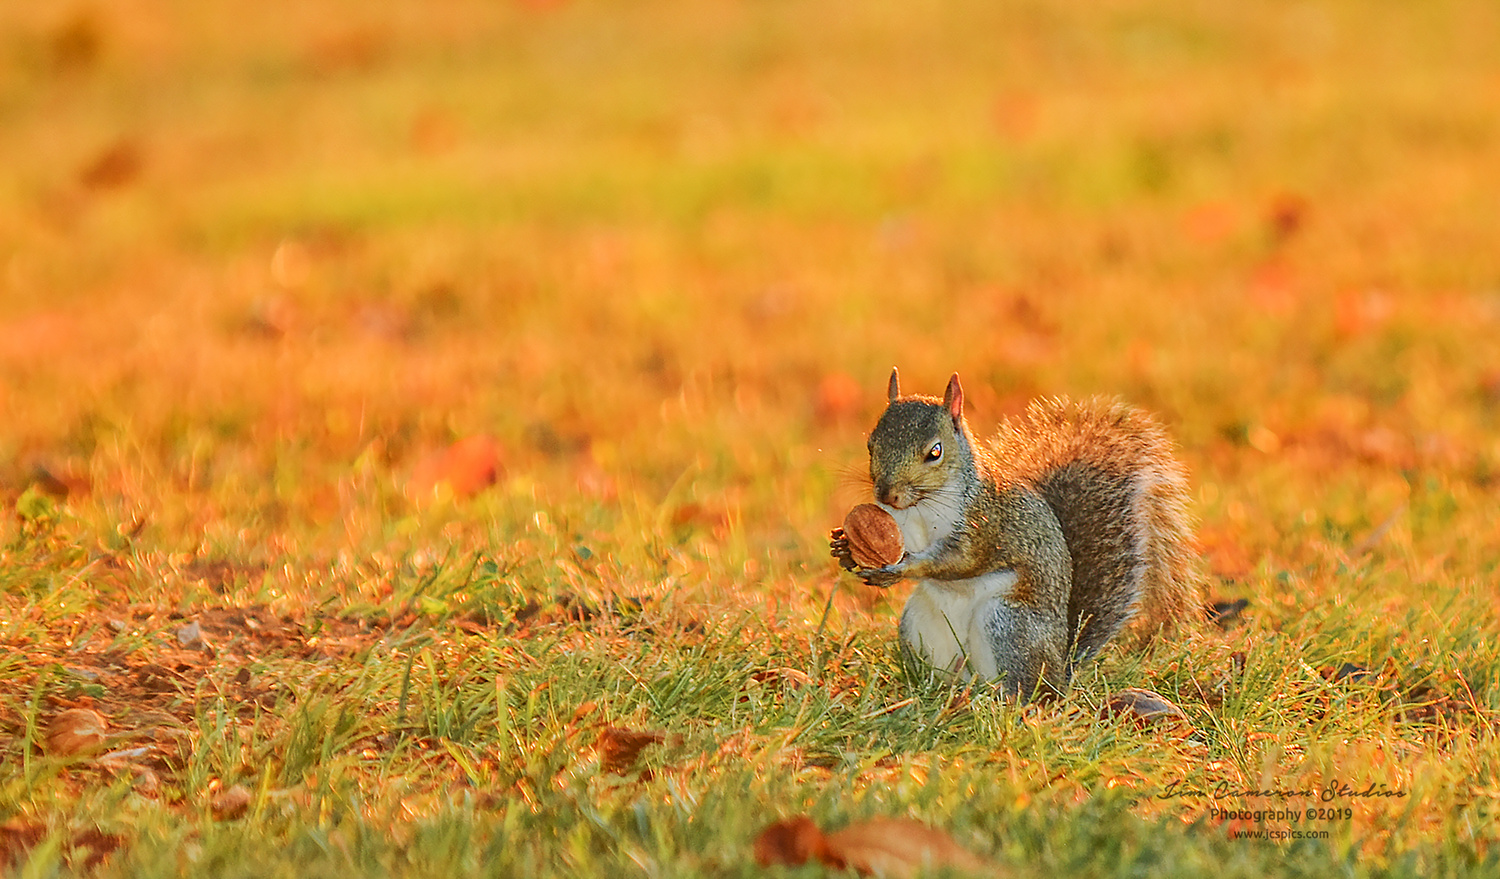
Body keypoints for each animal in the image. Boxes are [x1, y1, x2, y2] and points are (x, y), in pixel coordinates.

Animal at [830, 369, 1199, 699]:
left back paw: (996, 700)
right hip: (918, 625)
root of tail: (1059, 670)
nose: (886, 494)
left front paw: (903, 568)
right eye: (871, 444)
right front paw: (844, 548)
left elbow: (960, 560)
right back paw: (937, 693)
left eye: (935, 452)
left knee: (1023, 690)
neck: (921, 506)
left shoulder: (983, 524)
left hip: (1007, 624)